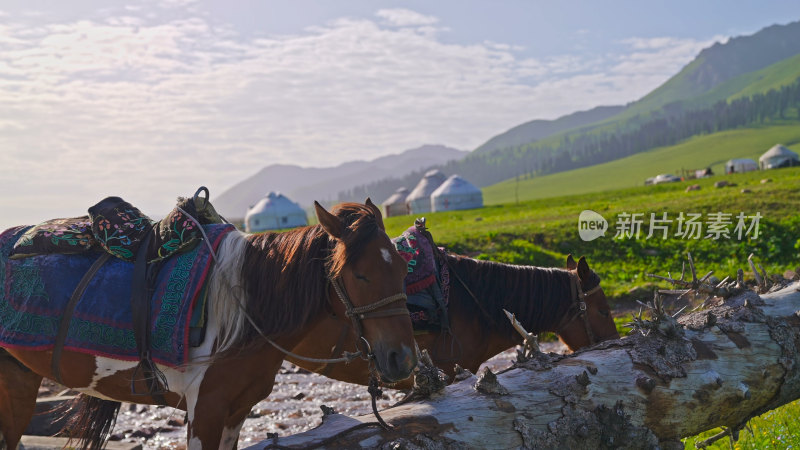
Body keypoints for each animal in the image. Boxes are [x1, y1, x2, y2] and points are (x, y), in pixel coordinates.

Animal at [0, 200, 416, 450]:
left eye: (400, 266)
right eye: (359, 275)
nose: (403, 359)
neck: (243, 314)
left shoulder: (236, 412)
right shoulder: (205, 412)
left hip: (18, 381)